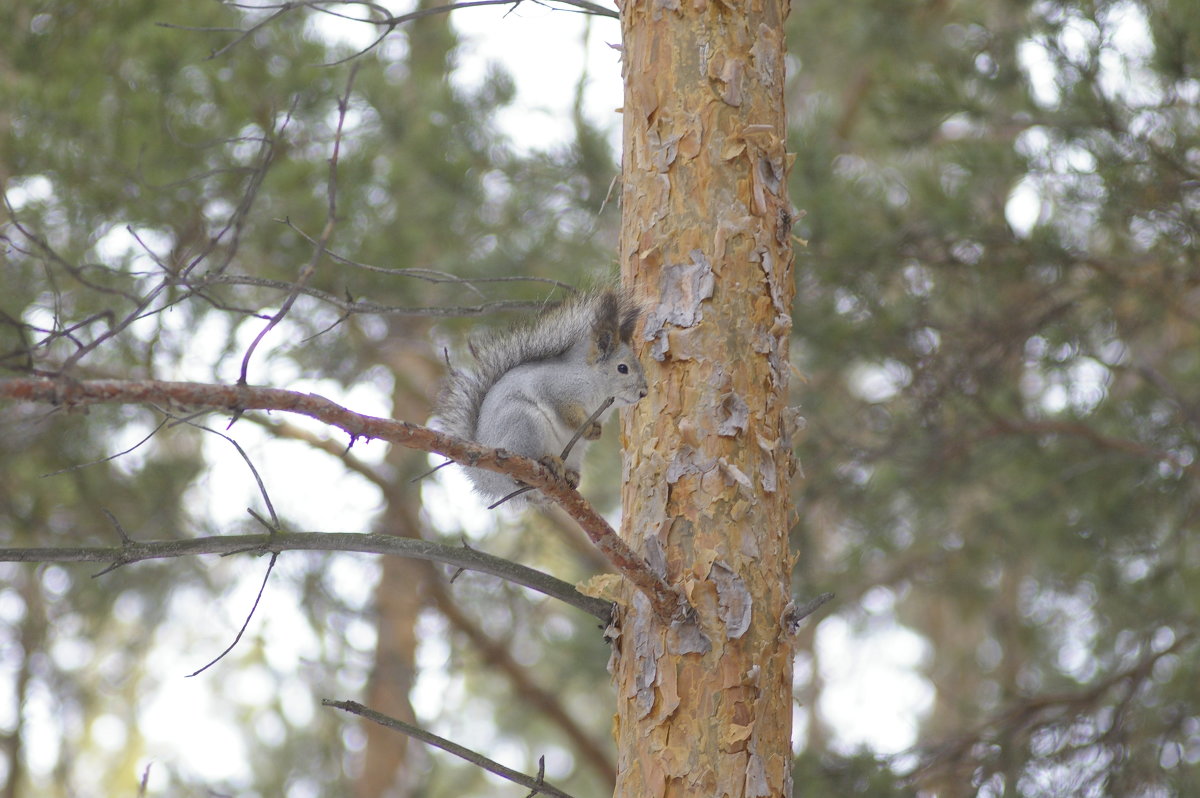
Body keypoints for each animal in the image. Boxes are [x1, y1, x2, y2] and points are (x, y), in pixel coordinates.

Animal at [436, 289, 648, 506]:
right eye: (622, 368)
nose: (644, 392)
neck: (596, 384)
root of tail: (488, 478)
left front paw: (596, 431)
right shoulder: (555, 389)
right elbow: (567, 413)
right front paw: (587, 427)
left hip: (574, 454)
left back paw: (570, 476)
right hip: (524, 425)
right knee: (520, 474)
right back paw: (547, 462)